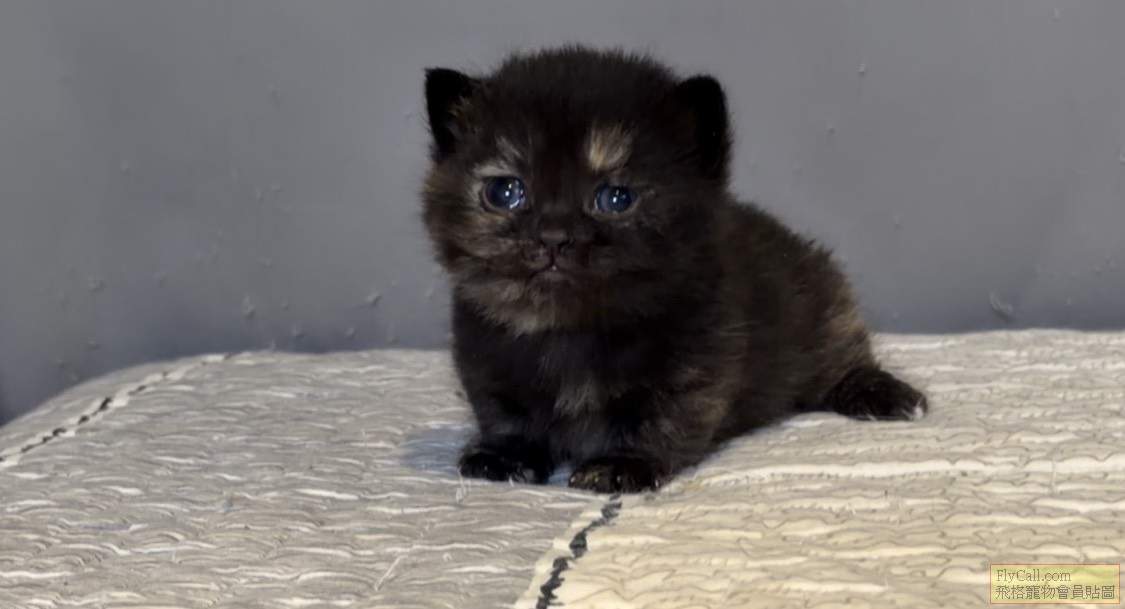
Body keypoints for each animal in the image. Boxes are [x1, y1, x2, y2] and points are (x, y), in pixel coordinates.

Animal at [419, 45, 927, 494]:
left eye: (616, 197)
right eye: (505, 192)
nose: (553, 236)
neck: (570, 331)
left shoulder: (696, 367)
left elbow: (665, 419)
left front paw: (623, 464)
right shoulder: (484, 360)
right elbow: (504, 411)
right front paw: (506, 454)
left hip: (824, 309)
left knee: (846, 357)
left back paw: (886, 395)